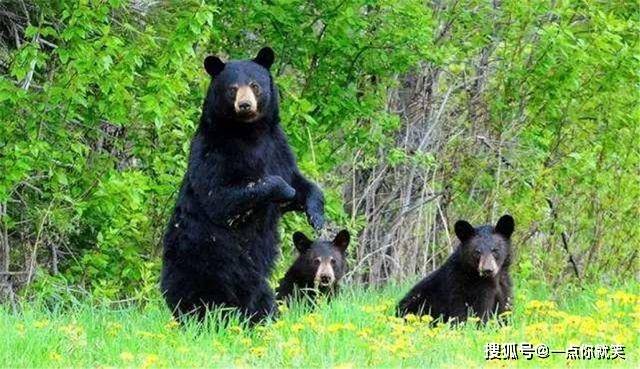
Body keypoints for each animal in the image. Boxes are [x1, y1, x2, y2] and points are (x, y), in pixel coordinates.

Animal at [161, 47, 324, 324]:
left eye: (255, 85)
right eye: (232, 88)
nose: (245, 105)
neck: (250, 132)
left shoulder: (278, 147)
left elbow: (300, 182)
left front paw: (316, 215)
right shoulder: (214, 153)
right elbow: (222, 197)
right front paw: (284, 189)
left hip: (253, 280)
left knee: (261, 297)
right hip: (203, 263)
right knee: (198, 298)